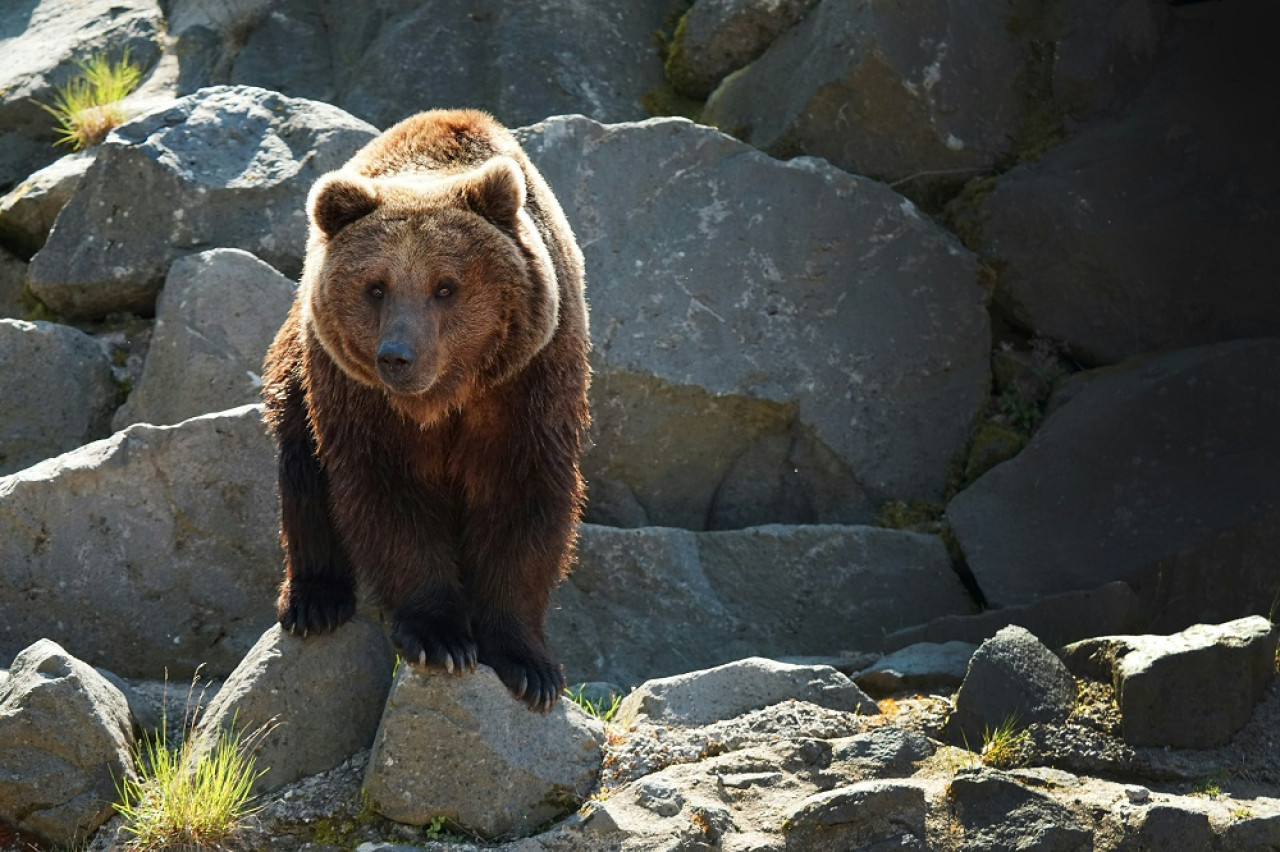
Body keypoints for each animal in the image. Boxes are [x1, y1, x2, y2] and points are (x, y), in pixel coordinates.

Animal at [264, 109, 593, 711]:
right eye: (376, 287)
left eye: (446, 286)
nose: (397, 355)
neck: (443, 398)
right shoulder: (363, 402)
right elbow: (389, 496)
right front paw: (441, 637)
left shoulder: (528, 387)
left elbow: (524, 502)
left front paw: (529, 666)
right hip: (301, 366)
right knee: (301, 466)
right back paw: (315, 599)